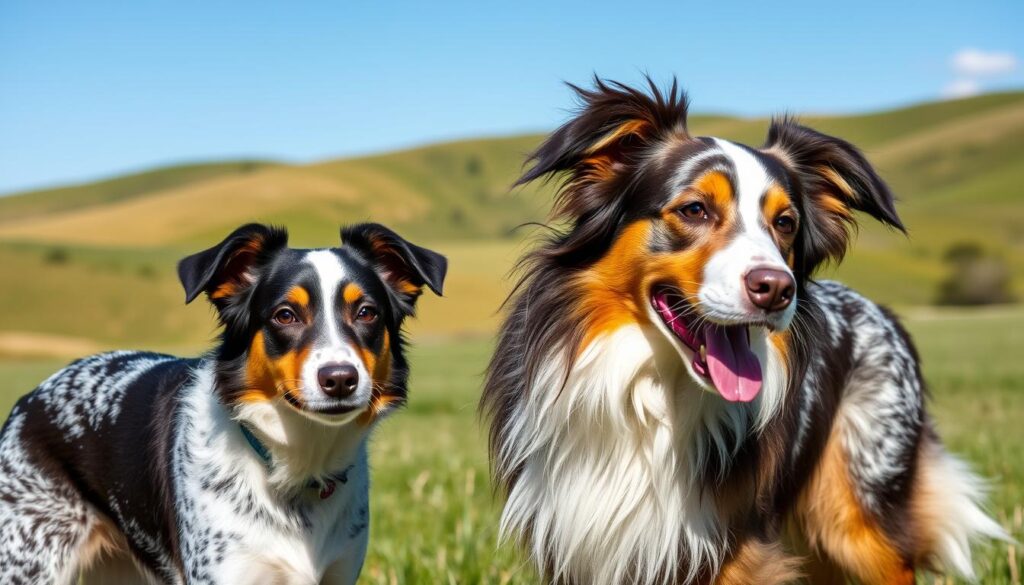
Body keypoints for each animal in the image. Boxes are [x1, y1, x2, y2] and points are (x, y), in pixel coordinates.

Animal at [481, 81, 1007, 585]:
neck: (653, 396)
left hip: (858, 512)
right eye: (694, 209)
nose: (776, 289)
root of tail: (886, 315)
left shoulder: (731, 546)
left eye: (786, 223)